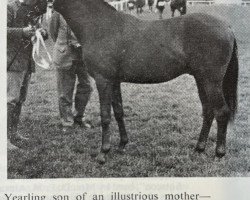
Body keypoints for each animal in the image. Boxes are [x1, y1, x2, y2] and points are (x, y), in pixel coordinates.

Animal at [47, 0, 238, 163]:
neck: (101, 26)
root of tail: (227, 27)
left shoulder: (103, 80)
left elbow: (105, 116)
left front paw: (103, 153)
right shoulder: (114, 82)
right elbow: (118, 112)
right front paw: (122, 145)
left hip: (211, 81)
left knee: (221, 112)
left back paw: (219, 153)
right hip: (201, 79)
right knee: (208, 111)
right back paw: (199, 148)